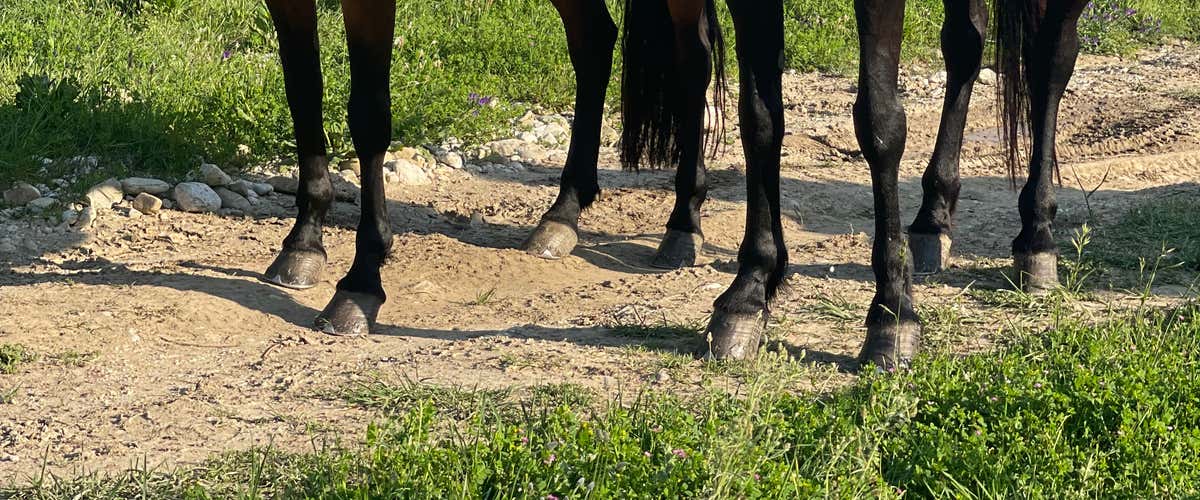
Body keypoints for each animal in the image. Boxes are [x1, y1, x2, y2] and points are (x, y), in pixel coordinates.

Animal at [261, 0, 1087, 371]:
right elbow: (761, 118)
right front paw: (750, 292)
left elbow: (878, 122)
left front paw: (891, 317)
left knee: (1048, 52)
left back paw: (1033, 238)